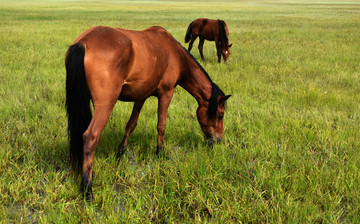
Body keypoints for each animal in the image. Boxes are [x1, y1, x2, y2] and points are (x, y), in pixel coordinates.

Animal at [65, 25, 229, 200]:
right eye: (220, 115)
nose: (217, 141)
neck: (176, 55)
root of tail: (83, 43)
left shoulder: (141, 96)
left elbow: (131, 125)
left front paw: (120, 154)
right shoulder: (166, 93)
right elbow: (161, 125)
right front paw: (160, 153)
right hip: (105, 106)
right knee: (90, 137)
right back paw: (87, 188)